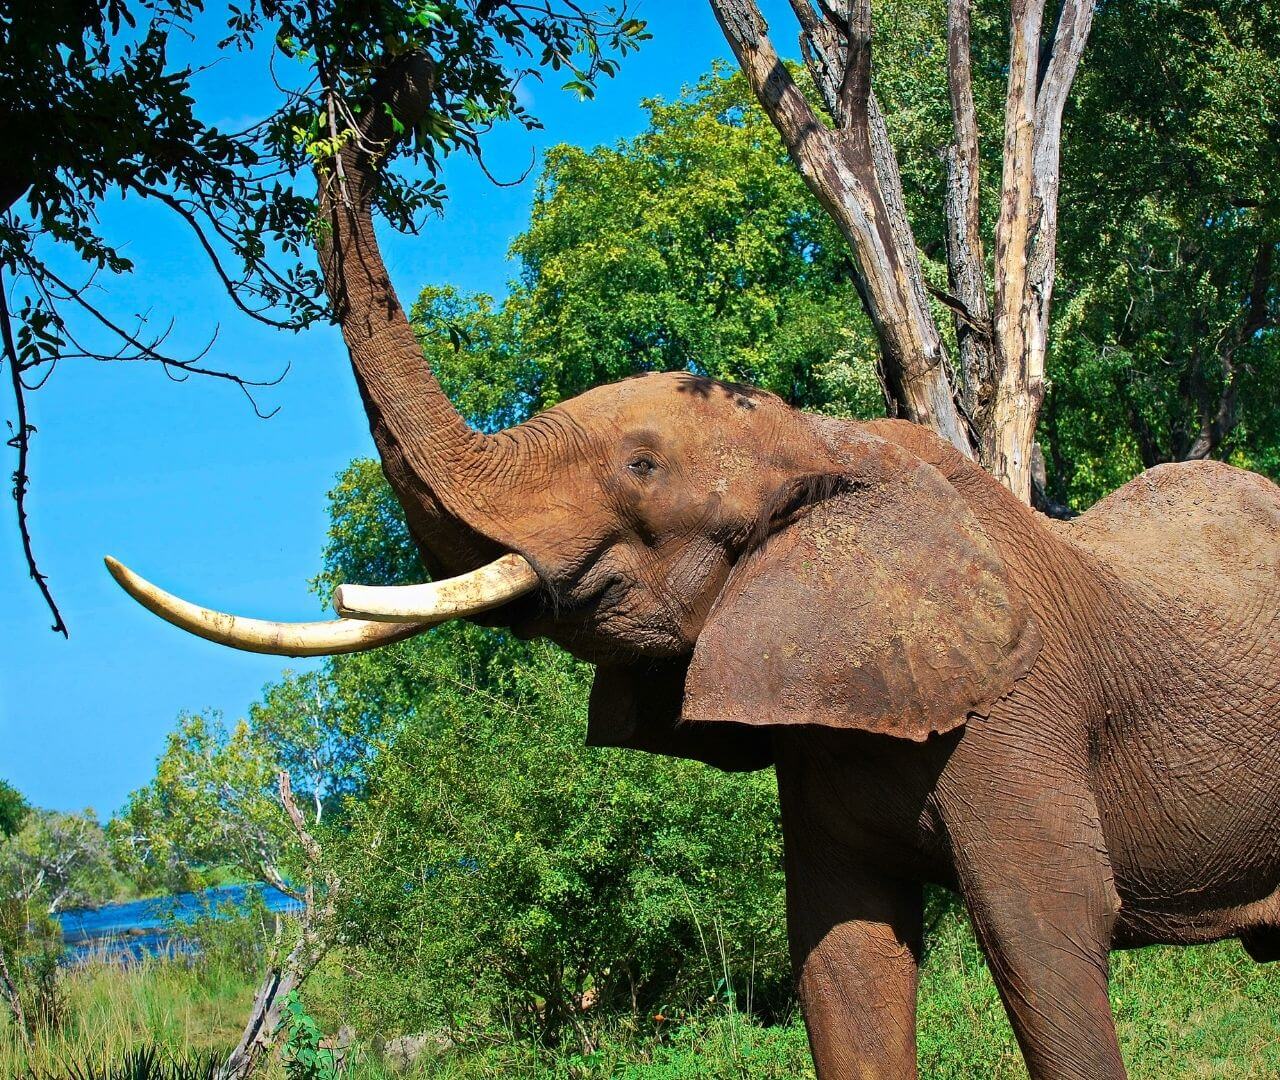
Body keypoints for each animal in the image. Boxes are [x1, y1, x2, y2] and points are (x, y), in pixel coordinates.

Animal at [105, 196, 1280, 1080]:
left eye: (638, 468)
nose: (360, 104)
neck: (829, 443)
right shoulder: (821, 730)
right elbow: (844, 956)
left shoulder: (1019, 709)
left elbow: (1041, 939)